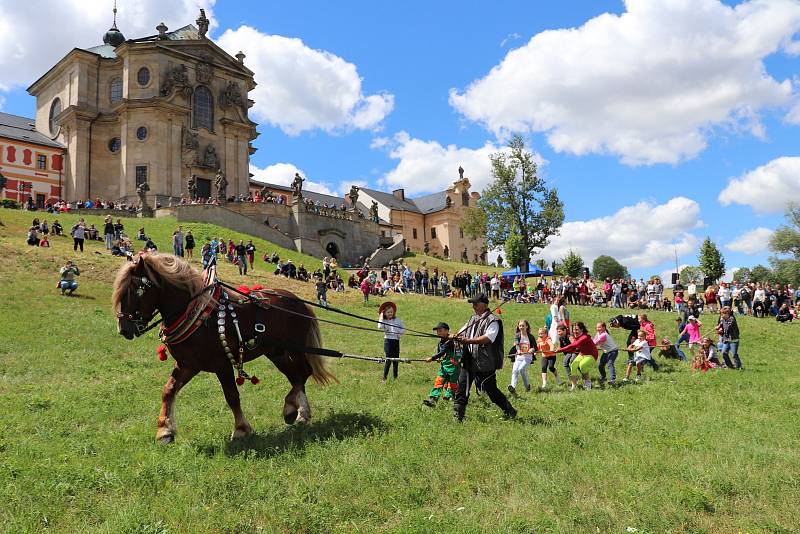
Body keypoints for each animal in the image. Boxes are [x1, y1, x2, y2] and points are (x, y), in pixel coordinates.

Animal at [111, 254, 334, 444]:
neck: (199, 314)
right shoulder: (188, 364)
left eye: (135, 290)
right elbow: (168, 391)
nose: (124, 329)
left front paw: (241, 429)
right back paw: (300, 412)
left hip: (295, 349)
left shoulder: (222, 363)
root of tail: (299, 302)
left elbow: (231, 396)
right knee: (295, 377)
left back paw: (291, 408)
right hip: (276, 352)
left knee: (303, 373)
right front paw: (165, 431)